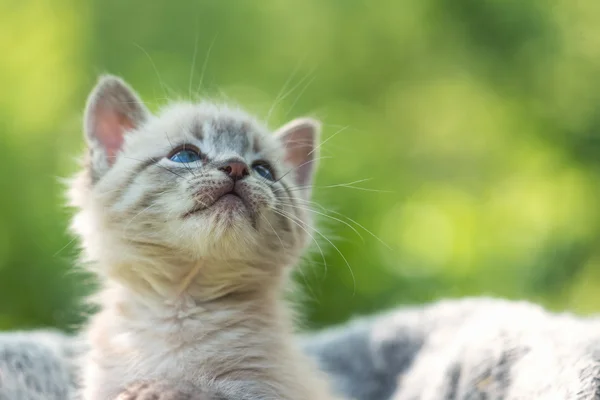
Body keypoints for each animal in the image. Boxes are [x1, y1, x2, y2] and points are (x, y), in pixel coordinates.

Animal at [69, 76, 342, 400]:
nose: (237, 166)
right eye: (185, 155)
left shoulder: (265, 391)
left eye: (264, 170)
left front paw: (157, 388)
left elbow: (201, 391)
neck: (182, 305)